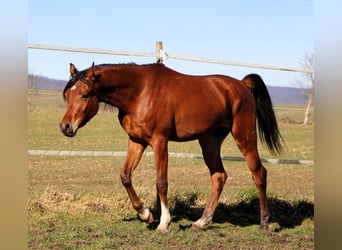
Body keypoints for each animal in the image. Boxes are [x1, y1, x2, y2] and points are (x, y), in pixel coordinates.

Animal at [59, 62, 284, 232]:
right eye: (66, 95)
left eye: (85, 94)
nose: (66, 127)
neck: (140, 92)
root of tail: (242, 85)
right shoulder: (136, 141)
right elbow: (125, 176)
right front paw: (145, 214)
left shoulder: (160, 141)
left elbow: (161, 182)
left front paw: (163, 223)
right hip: (209, 141)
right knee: (219, 176)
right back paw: (202, 222)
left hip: (244, 137)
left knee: (258, 173)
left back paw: (264, 221)